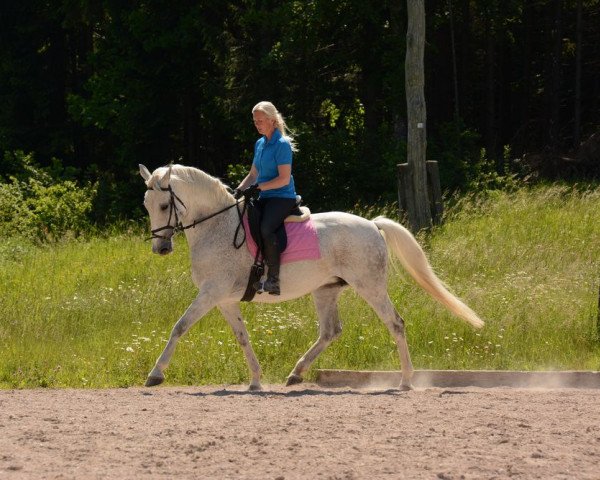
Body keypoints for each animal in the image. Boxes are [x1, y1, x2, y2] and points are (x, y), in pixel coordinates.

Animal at [137, 165, 482, 390]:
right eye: (146, 205)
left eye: (165, 205)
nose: (160, 248)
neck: (216, 227)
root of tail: (372, 225)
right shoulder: (223, 299)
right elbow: (242, 337)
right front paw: (256, 380)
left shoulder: (211, 292)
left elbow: (179, 327)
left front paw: (155, 374)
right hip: (326, 290)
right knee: (330, 331)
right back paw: (296, 374)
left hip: (370, 286)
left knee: (395, 324)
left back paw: (406, 381)